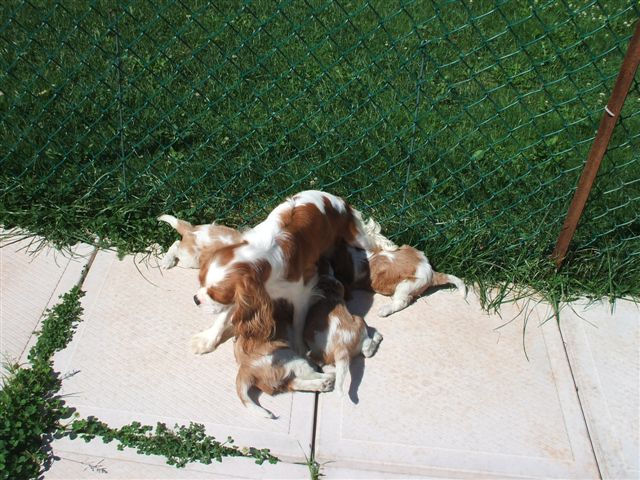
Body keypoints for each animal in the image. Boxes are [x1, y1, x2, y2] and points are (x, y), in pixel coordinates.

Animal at [194, 191, 396, 356]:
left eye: (216, 295)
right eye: (200, 282)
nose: (195, 299)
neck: (261, 256)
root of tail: (336, 198)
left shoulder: (302, 291)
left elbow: (299, 321)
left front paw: (299, 347)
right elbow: (222, 318)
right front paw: (208, 339)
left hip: (356, 236)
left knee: (373, 244)